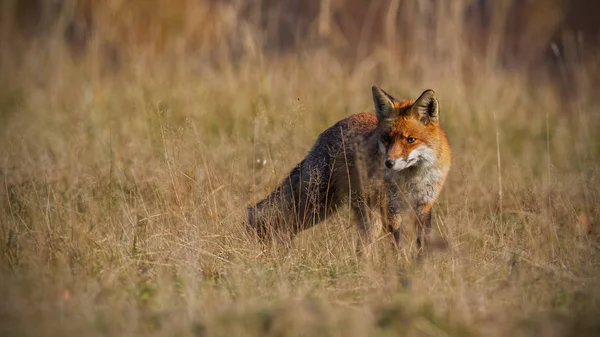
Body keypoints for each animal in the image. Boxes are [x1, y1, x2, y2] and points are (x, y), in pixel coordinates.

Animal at [247, 86, 450, 252]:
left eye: (410, 140)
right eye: (386, 139)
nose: (389, 163)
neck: (412, 179)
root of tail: (335, 126)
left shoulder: (424, 205)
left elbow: (421, 244)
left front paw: (420, 268)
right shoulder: (391, 207)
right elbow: (398, 244)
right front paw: (402, 265)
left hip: (353, 214)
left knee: (360, 248)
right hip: (318, 204)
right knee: (274, 219)